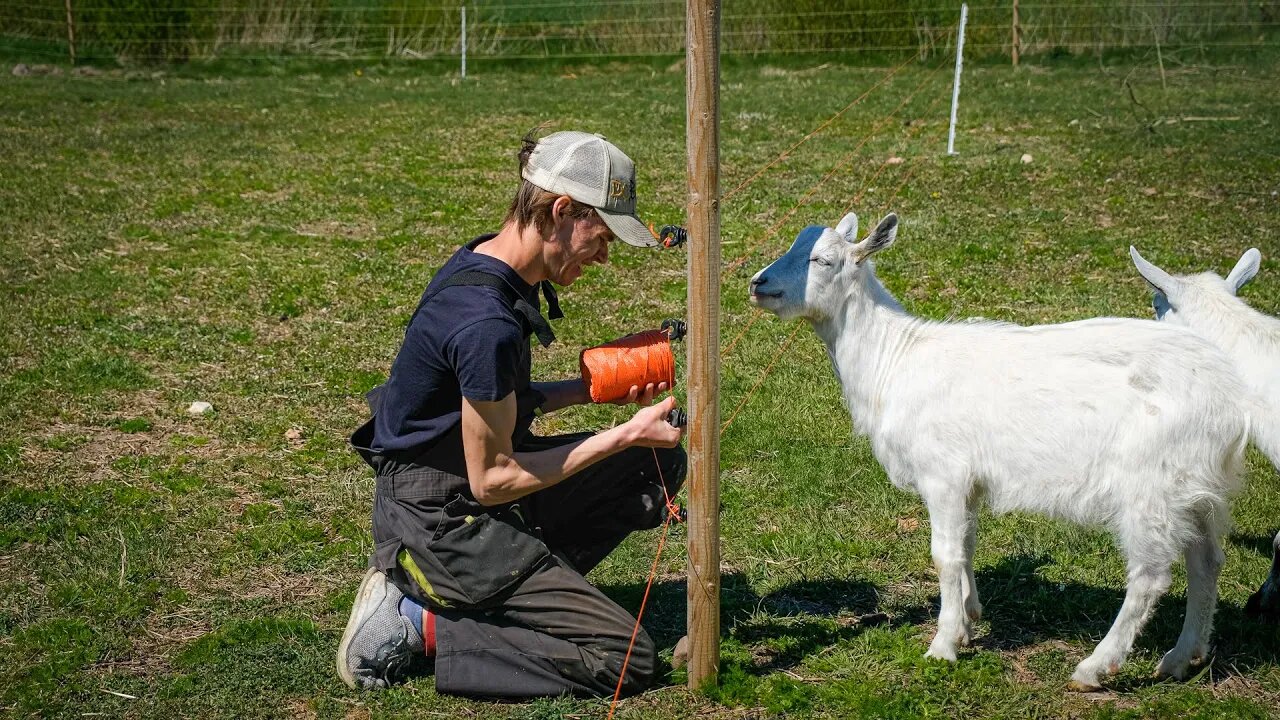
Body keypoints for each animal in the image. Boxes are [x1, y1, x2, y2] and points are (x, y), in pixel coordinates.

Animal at [747, 211, 1249, 681]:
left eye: (821, 260)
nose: (758, 283)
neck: (894, 361)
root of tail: (1229, 398)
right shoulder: (967, 480)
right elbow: (967, 544)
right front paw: (969, 621)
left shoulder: (943, 473)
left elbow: (945, 555)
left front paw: (943, 644)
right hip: (1193, 486)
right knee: (1207, 562)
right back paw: (1183, 657)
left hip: (1150, 485)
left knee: (1150, 576)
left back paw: (1095, 668)